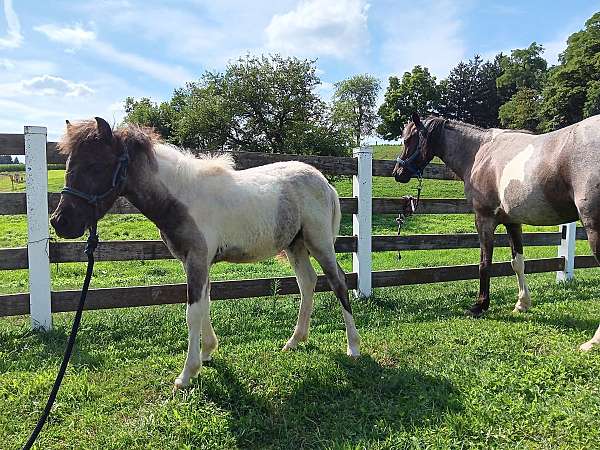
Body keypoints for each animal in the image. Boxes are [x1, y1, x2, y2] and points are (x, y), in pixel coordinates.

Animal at [50, 118, 360, 388]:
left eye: (95, 165)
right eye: (68, 164)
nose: (60, 222)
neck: (182, 198)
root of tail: (324, 182)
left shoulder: (197, 259)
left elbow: (193, 312)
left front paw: (187, 374)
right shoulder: (196, 261)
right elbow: (206, 302)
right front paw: (208, 352)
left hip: (319, 243)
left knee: (338, 282)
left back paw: (353, 346)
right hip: (295, 245)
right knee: (307, 282)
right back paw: (295, 341)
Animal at [394, 112, 600, 352]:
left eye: (408, 139)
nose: (398, 173)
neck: (481, 151)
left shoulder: (484, 220)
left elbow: (485, 263)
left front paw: (480, 305)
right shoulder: (513, 222)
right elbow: (517, 263)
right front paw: (522, 304)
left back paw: (593, 341)